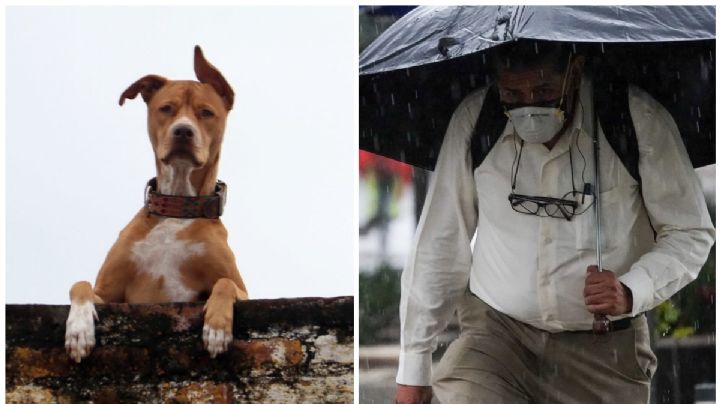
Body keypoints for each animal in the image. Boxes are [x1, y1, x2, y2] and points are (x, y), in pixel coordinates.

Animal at [65, 46, 250, 362]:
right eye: (166, 108)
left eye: (206, 112)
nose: (183, 131)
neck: (177, 205)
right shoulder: (109, 292)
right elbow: (80, 284)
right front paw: (78, 329)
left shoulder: (244, 289)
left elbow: (224, 283)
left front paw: (216, 328)